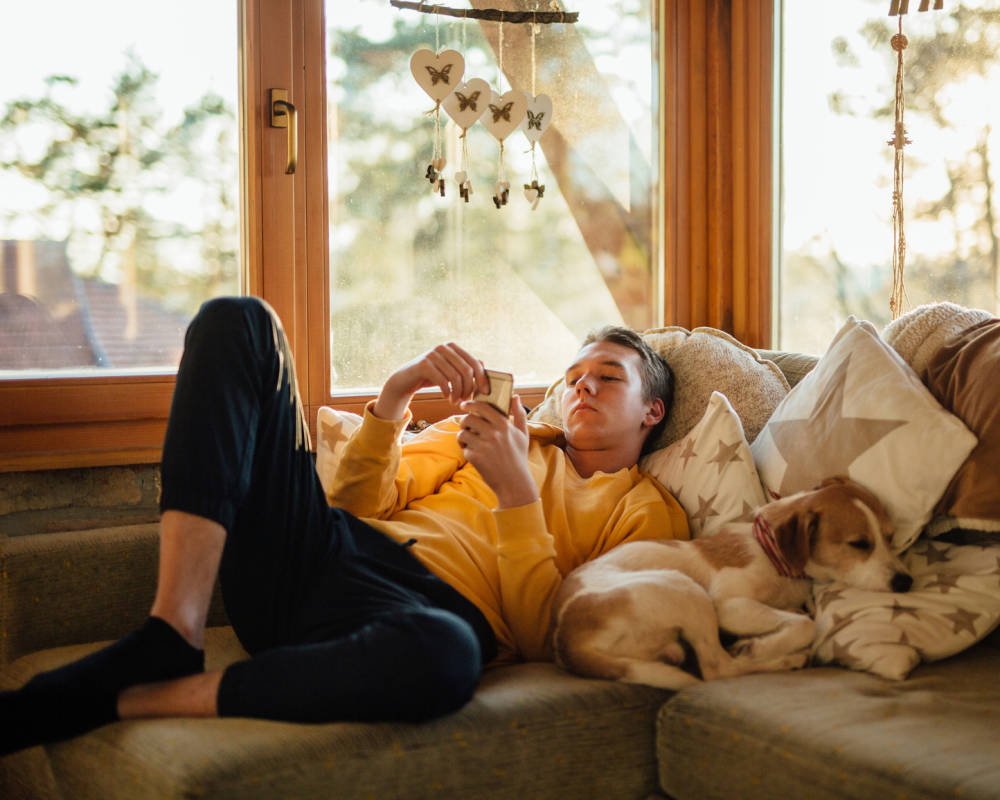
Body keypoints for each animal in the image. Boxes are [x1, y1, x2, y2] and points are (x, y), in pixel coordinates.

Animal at [556, 476, 916, 688]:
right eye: (860, 544)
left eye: (890, 537)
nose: (905, 582)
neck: (772, 555)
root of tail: (568, 643)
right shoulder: (729, 607)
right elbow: (805, 625)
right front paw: (762, 646)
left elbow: (800, 618)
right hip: (686, 590)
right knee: (717, 668)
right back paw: (783, 659)